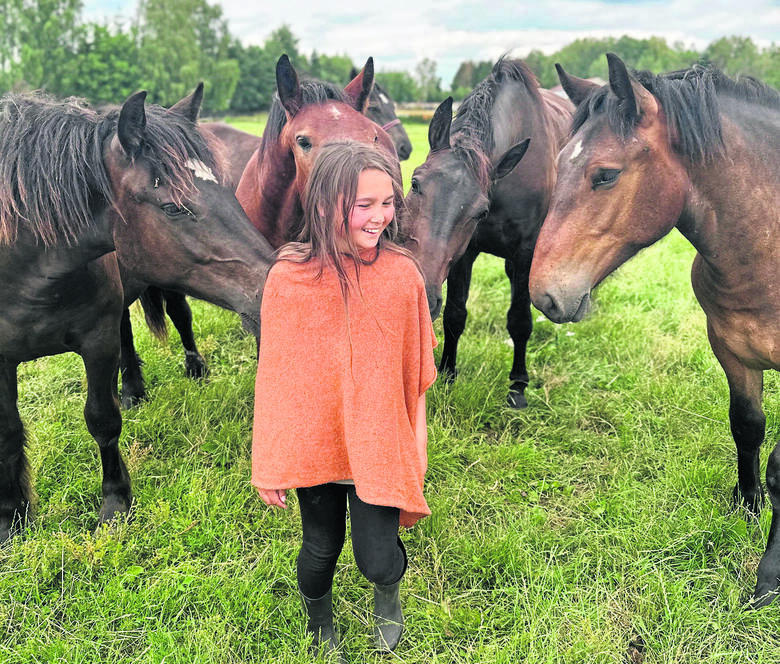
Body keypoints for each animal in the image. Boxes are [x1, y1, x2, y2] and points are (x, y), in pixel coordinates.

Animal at [0, 84, 274, 540]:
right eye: (173, 207)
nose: (274, 286)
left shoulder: (97, 340)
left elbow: (102, 419)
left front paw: (114, 505)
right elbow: (8, 431)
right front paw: (11, 519)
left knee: (180, 318)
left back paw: (193, 369)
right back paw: (133, 389)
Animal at [402, 58, 572, 410]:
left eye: (480, 210)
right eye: (415, 182)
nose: (421, 295)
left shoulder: (525, 254)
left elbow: (519, 320)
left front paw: (518, 387)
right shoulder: (464, 254)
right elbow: (454, 314)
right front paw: (447, 375)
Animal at [532, 53, 780, 608]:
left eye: (605, 175)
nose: (544, 294)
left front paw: (770, 578)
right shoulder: (730, 349)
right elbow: (748, 427)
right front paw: (747, 506)